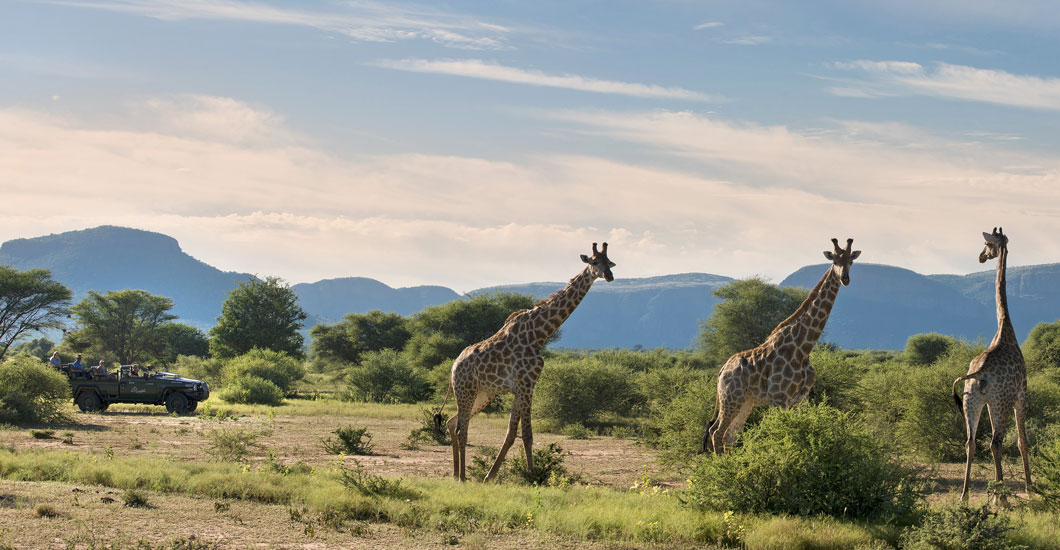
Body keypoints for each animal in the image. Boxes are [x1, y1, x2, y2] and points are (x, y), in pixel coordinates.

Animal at [443, 243, 619, 478]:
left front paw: (490, 476)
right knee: (462, 428)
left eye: (609, 262)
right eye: (594, 262)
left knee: (451, 422)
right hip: (466, 391)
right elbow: (527, 434)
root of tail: (454, 367)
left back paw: (455, 474)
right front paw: (533, 476)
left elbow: (511, 433)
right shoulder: (527, 385)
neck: (539, 335)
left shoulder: (521, 388)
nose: (609, 276)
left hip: (483, 394)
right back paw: (462, 477)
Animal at [695, 238, 860, 453]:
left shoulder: (800, 400)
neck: (803, 347)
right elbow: (774, 435)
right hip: (731, 398)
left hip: (746, 402)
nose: (845, 279)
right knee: (716, 432)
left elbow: (801, 432)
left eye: (851, 261)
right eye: (835, 261)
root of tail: (722, 370)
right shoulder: (779, 399)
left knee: (729, 436)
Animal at [949, 227, 1030, 504]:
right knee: (997, 442)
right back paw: (1002, 498)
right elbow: (1022, 442)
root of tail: (979, 373)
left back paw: (964, 496)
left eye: (987, 244)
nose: (981, 257)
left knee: (970, 442)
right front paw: (1031, 489)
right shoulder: (1021, 395)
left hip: (972, 400)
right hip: (999, 402)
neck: (1004, 328)